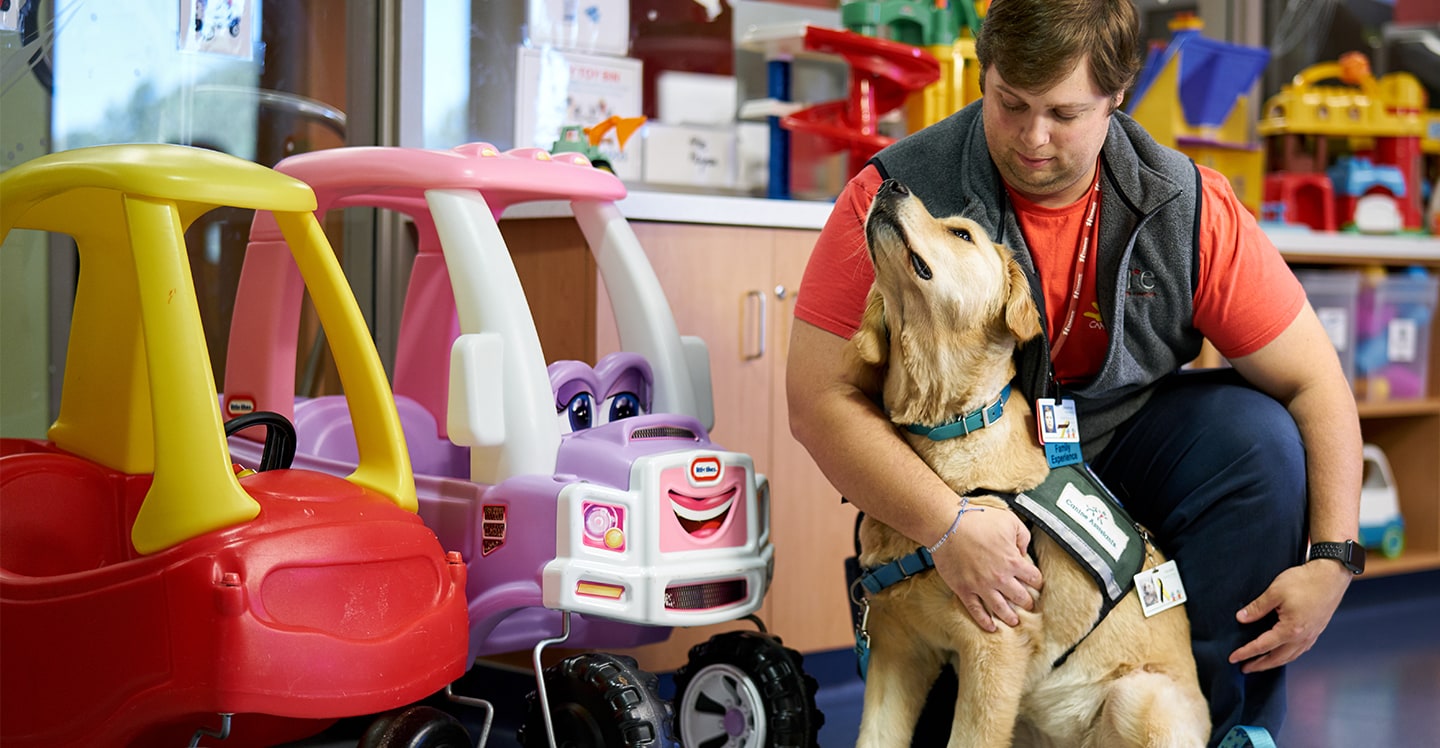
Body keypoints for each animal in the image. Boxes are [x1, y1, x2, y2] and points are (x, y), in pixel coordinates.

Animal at [846, 180, 1209, 748]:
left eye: (961, 233)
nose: (889, 185)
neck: (947, 427)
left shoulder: (995, 649)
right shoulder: (896, 647)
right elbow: (875, 738)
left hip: (1137, 698)